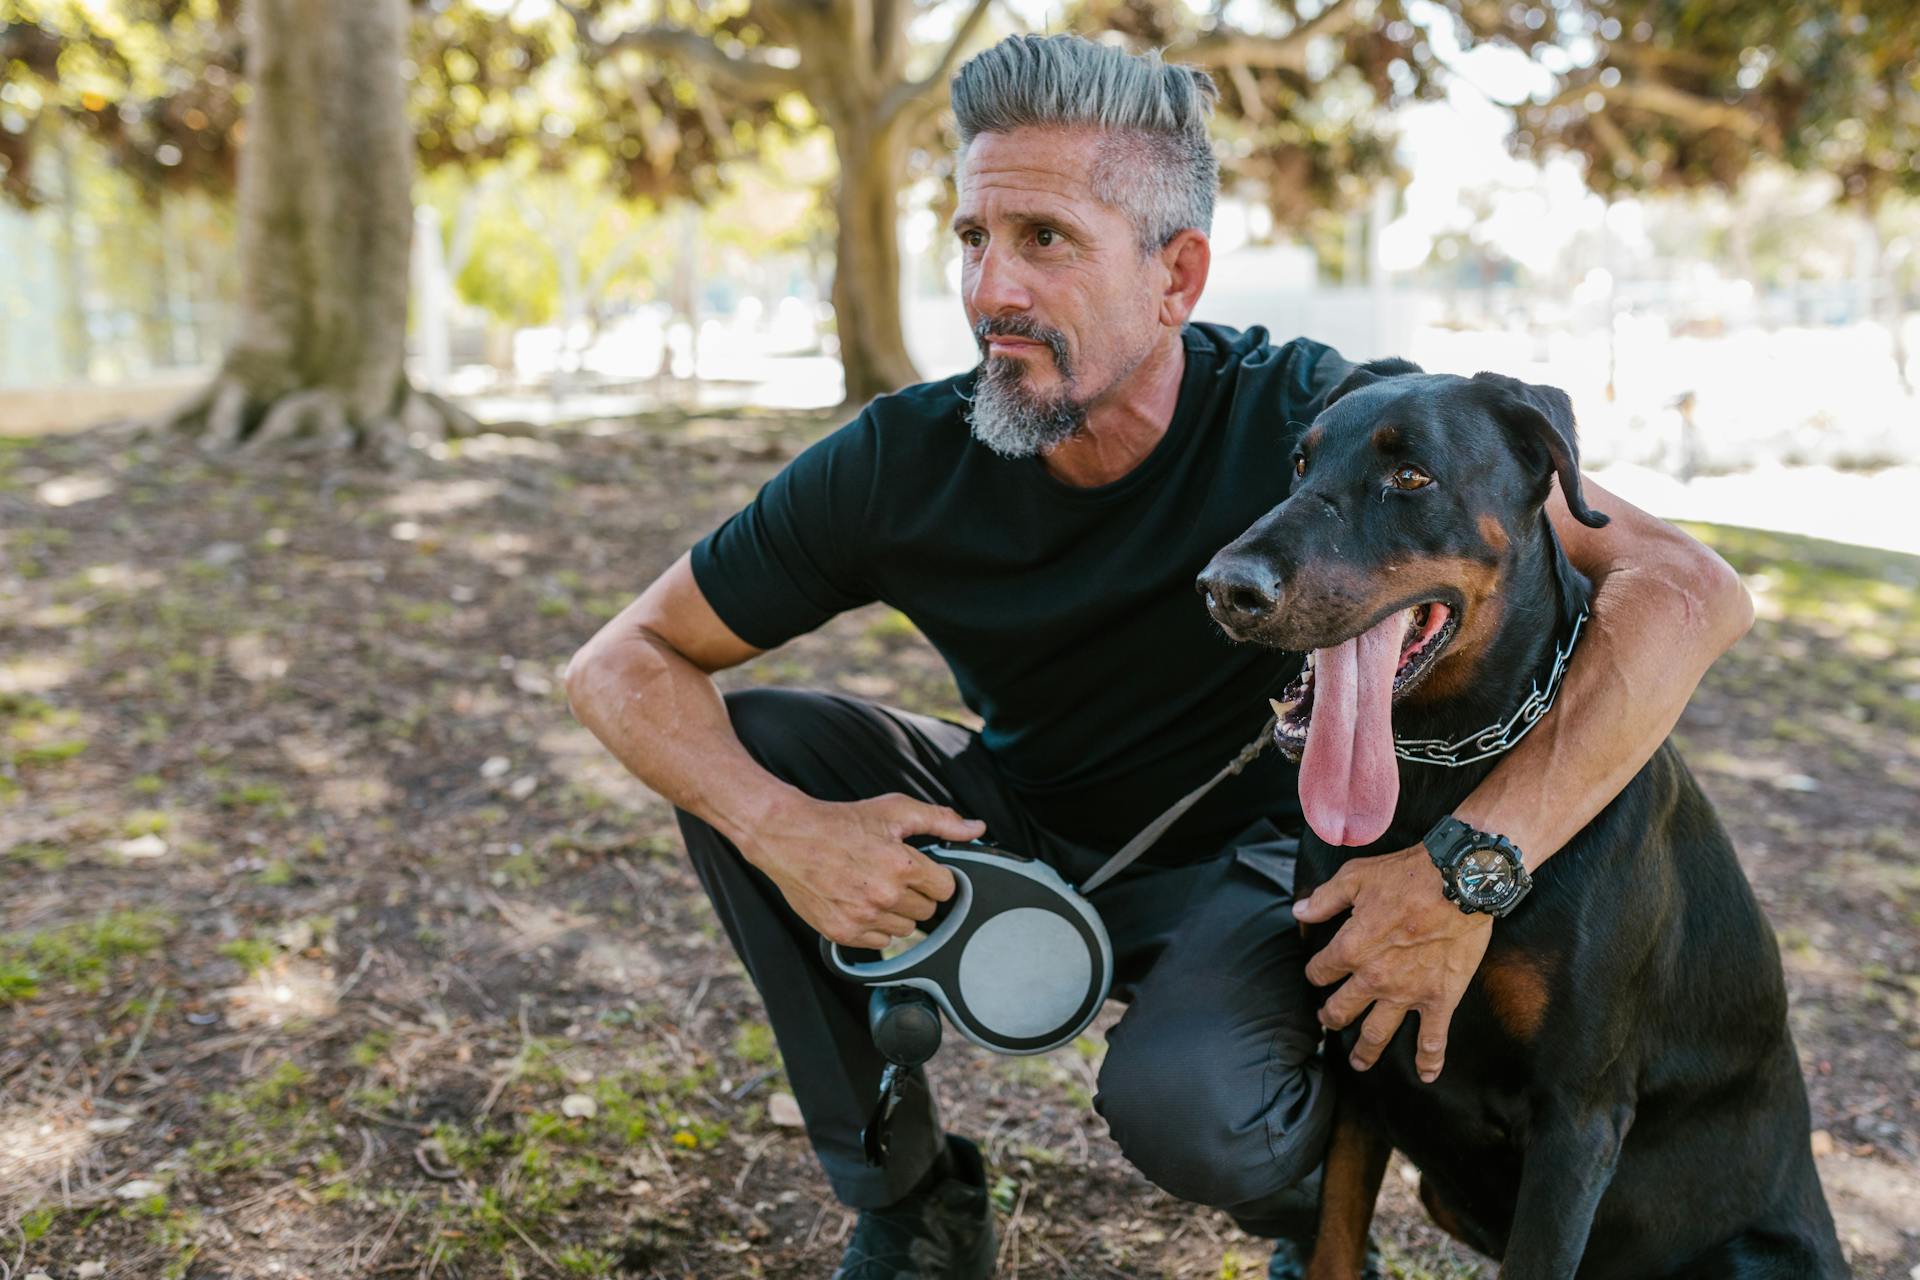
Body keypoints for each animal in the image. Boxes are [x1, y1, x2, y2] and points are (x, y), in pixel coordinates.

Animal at [1198, 362, 1843, 1280]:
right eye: (1298, 463)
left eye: (1411, 476)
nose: (1226, 588)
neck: (1435, 778)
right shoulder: (1357, 1052)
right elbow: (1334, 1241)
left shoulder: (1578, 1117)